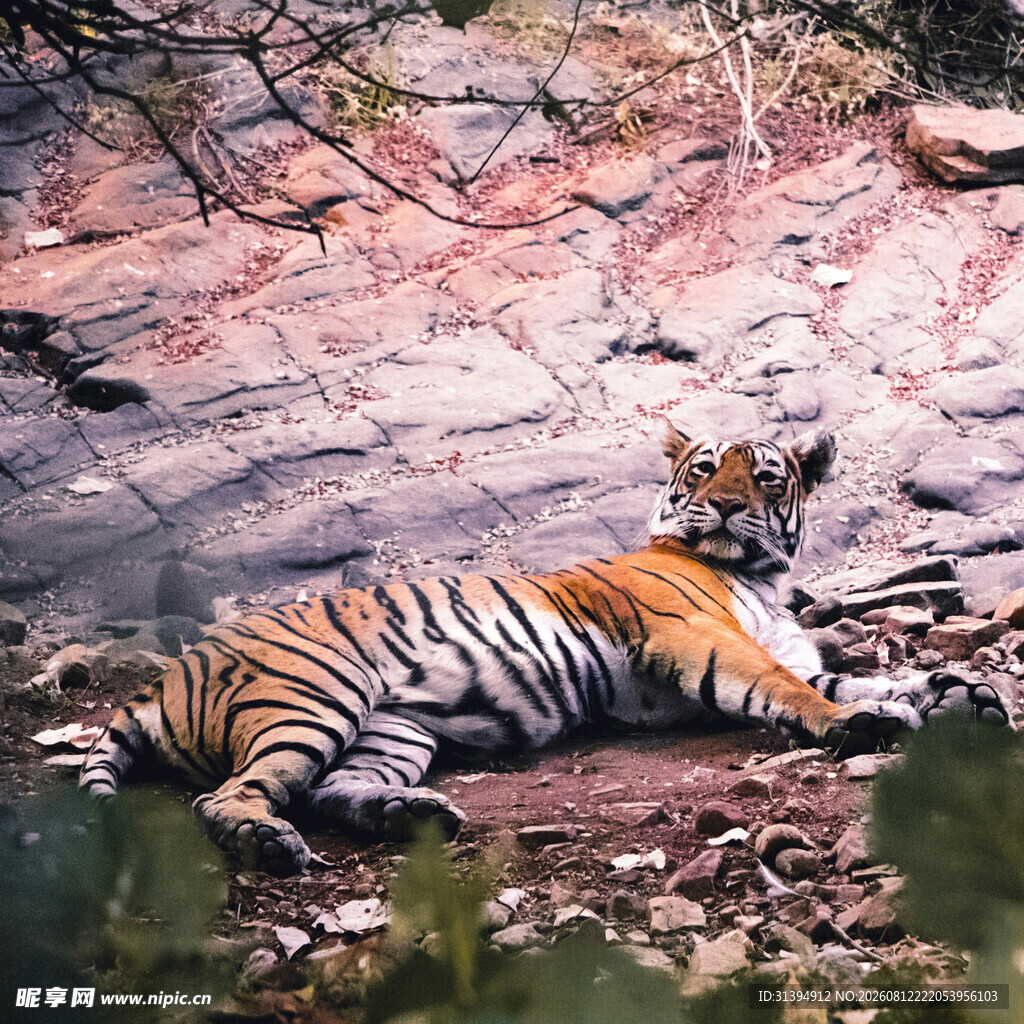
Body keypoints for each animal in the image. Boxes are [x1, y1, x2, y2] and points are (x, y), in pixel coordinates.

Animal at [80, 420, 1012, 874]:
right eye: (704, 470)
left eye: (765, 475)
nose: (723, 506)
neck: (760, 575)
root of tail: (165, 677)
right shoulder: (694, 636)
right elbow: (792, 690)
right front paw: (862, 726)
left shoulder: (792, 646)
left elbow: (863, 676)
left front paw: (960, 694)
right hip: (313, 698)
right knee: (231, 798)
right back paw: (269, 847)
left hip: (390, 732)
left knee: (325, 791)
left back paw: (410, 816)